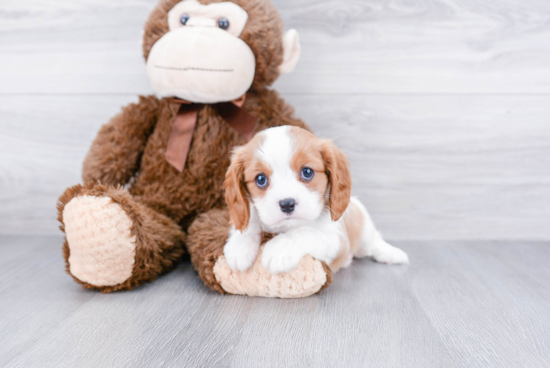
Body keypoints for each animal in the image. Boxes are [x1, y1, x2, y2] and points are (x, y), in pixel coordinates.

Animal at [223, 126, 410, 274]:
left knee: (374, 242)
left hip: (364, 229)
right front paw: (239, 246)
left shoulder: (335, 239)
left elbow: (305, 232)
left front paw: (280, 248)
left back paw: (393, 254)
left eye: (307, 172)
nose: (287, 204)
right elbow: (248, 225)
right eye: (260, 179)